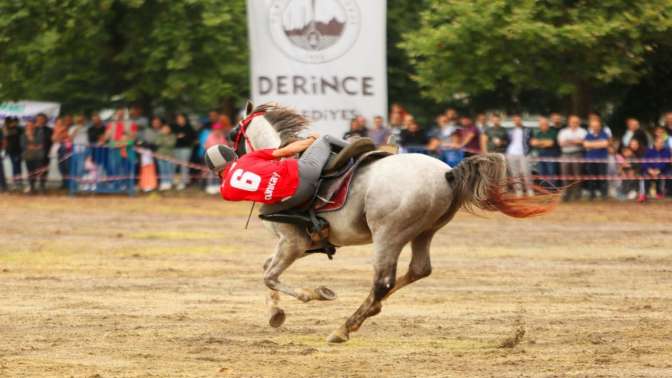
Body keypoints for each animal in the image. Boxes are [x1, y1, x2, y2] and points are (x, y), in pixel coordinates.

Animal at [234, 102, 552, 344]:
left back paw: (344, 328)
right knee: (418, 270)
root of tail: (447, 173)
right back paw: (369, 311)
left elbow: (269, 275)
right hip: (424, 232)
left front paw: (311, 294)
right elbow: (266, 269)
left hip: (388, 235)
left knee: (382, 282)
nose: (232, 156)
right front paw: (275, 313)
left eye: (235, 132)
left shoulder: (293, 242)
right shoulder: (299, 244)